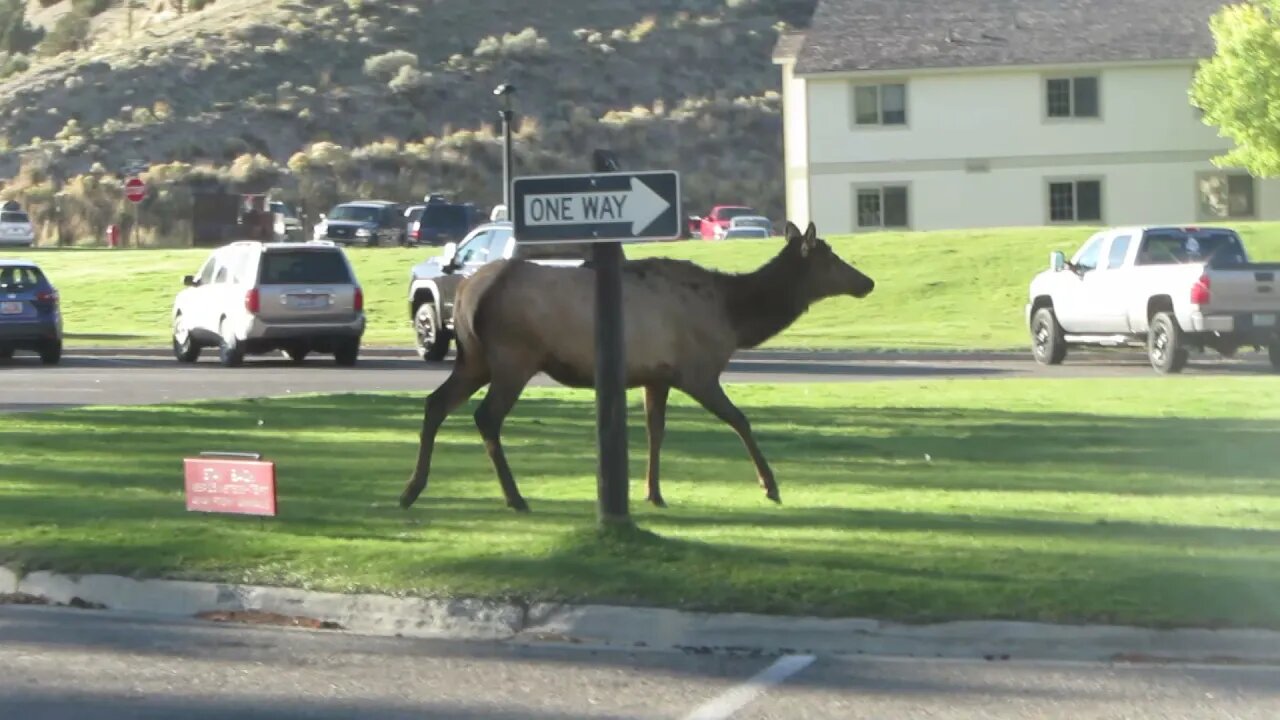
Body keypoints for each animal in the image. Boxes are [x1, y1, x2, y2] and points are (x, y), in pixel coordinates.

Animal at [399, 219, 875, 509]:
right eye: (830, 256)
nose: (867, 282)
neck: (735, 318)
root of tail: (465, 293)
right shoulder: (698, 370)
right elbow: (740, 420)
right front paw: (770, 485)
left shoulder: (655, 376)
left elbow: (655, 431)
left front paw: (653, 492)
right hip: (513, 356)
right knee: (486, 417)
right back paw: (514, 497)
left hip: (474, 357)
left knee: (435, 403)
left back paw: (412, 489)